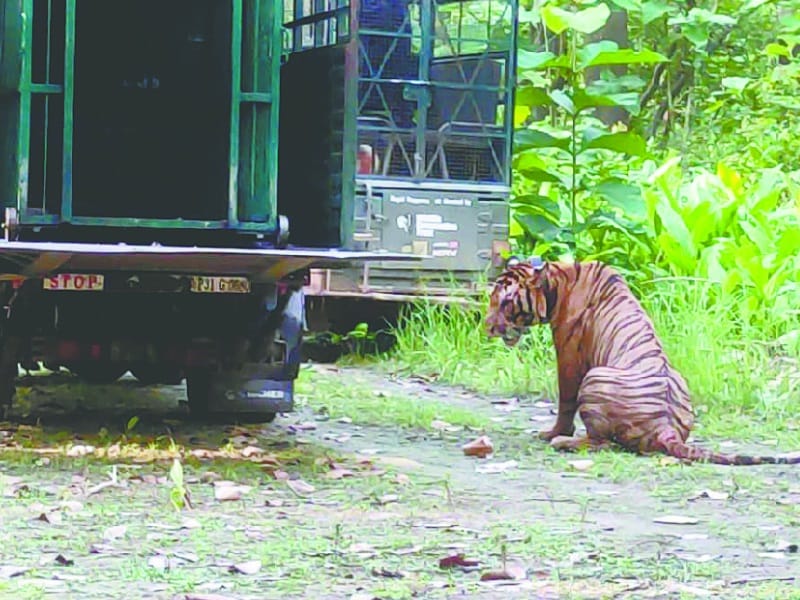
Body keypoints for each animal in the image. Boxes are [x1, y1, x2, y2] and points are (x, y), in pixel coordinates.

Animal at [485, 258, 800, 466]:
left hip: (595, 377)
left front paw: (553, 432)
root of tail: (666, 429)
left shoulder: (569, 356)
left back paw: (562, 442)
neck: (558, 280)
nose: (487, 327)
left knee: (601, 443)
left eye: (506, 302)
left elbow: (565, 401)